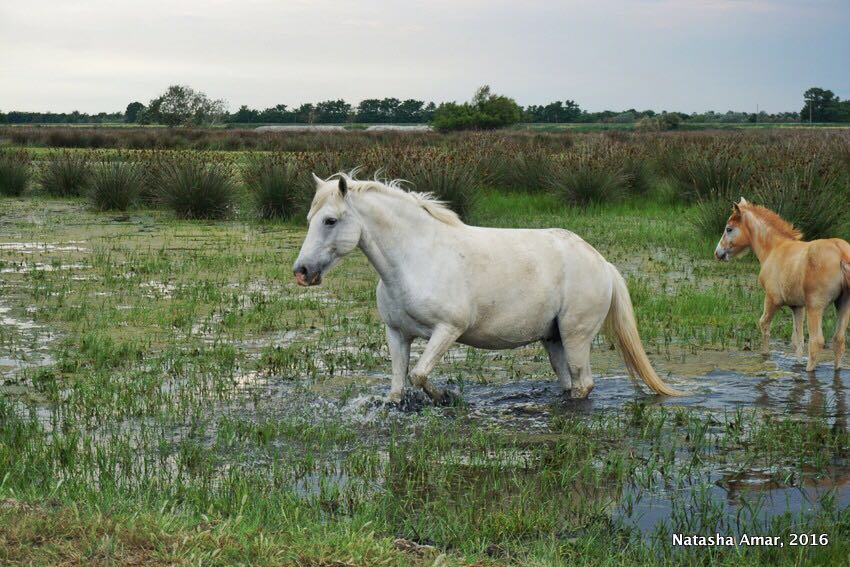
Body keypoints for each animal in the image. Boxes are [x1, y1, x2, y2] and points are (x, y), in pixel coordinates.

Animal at [294, 175, 680, 402]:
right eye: (310, 220)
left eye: (330, 221)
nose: (302, 272)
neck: (415, 258)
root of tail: (601, 263)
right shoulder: (397, 334)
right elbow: (398, 388)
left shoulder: (448, 330)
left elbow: (420, 375)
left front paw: (445, 397)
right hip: (553, 338)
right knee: (569, 384)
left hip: (576, 335)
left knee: (583, 384)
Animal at [712, 200, 844, 372]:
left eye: (729, 229)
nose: (718, 253)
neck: (774, 248)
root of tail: (841, 253)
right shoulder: (797, 306)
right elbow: (797, 341)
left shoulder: (772, 299)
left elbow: (764, 324)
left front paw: (765, 357)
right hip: (843, 304)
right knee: (839, 340)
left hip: (816, 306)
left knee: (816, 342)